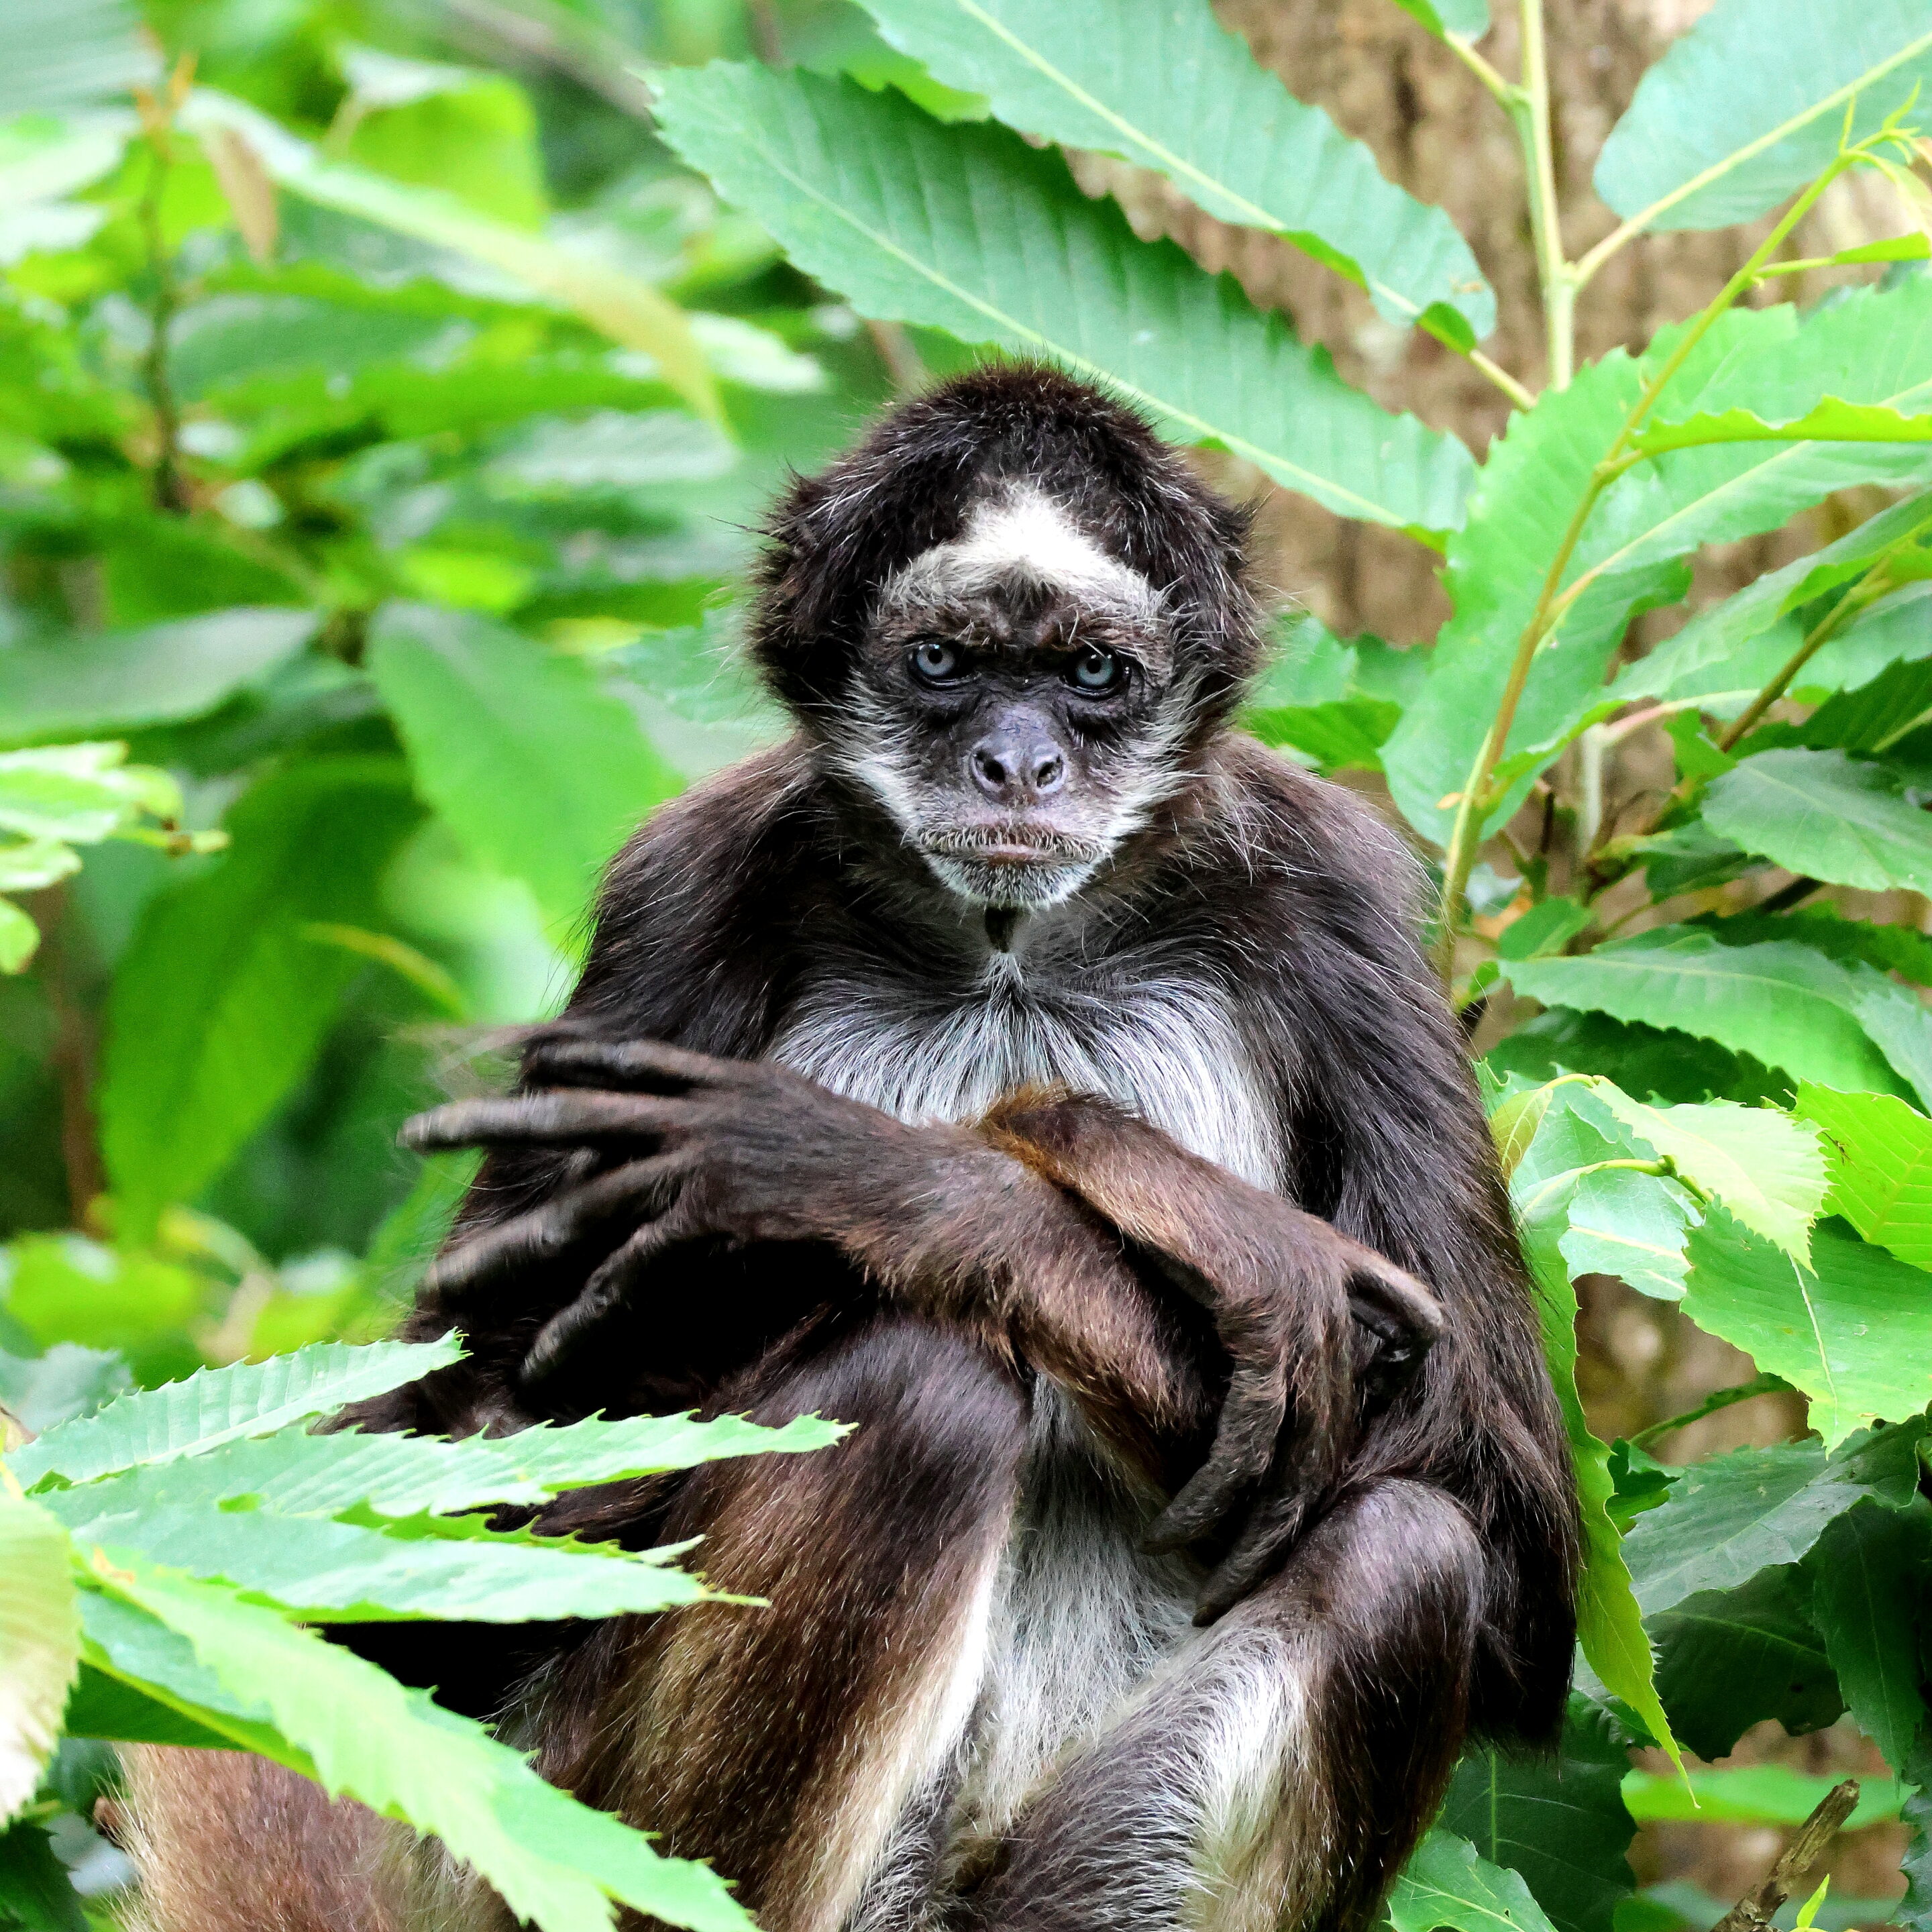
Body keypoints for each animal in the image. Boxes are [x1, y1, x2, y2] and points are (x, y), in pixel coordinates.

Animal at [121, 364, 1578, 1932]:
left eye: (1092, 674)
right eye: (944, 662)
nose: (1018, 762)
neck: (1009, 960)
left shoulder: (1342, 895)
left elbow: (1515, 1559)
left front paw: (899, 1188)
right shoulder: (681, 890)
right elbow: (417, 1562)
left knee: (1403, 1553)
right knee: (920, 1398)